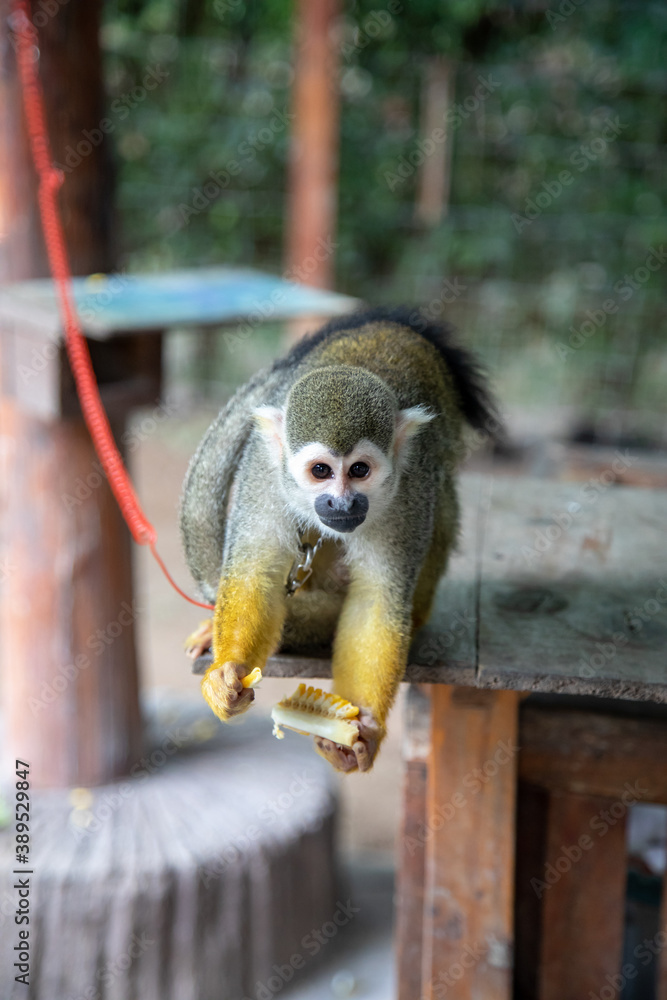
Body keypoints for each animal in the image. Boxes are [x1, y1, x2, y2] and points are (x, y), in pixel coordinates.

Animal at [180, 306, 500, 773]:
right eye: (321, 471)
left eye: (360, 470)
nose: (340, 502)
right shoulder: (265, 470)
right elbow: (256, 571)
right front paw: (227, 672)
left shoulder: (408, 487)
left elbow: (376, 601)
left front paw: (362, 733)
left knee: (442, 500)